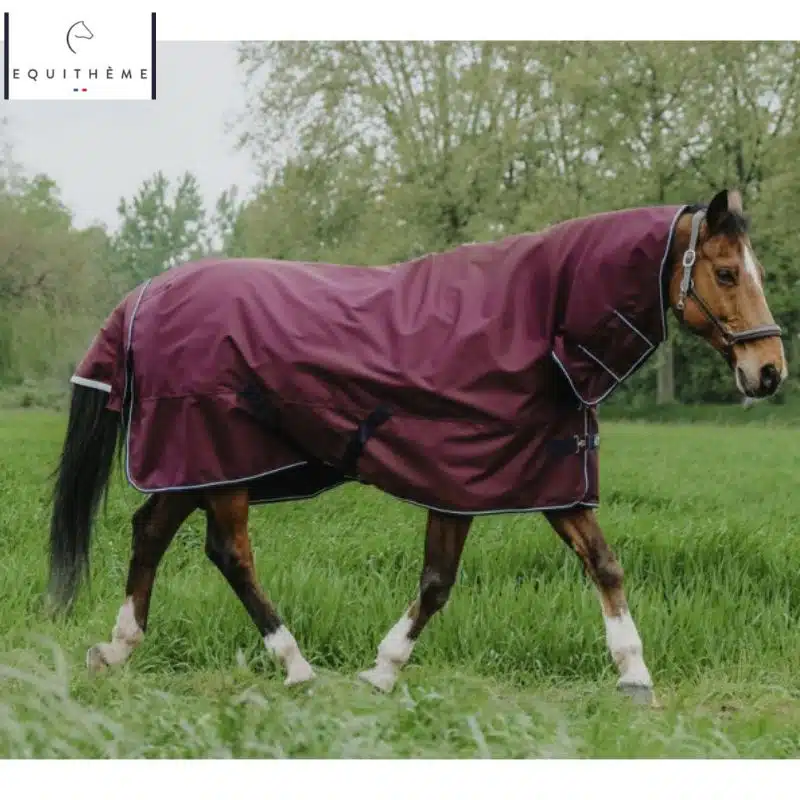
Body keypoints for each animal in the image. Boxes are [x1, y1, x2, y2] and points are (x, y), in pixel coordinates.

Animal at [47, 188, 786, 706]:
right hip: (220, 460)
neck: (535, 319)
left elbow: (603, 564)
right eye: (726, 272)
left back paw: (117, 648)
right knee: (229, 554)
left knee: (149, 531)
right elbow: (437, 584)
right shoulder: (461, 478)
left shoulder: (543, 474)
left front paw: (634, 674)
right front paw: (381, 670)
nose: (770, 371)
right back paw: (296, 666)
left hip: (192, 465)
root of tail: (144, 294)